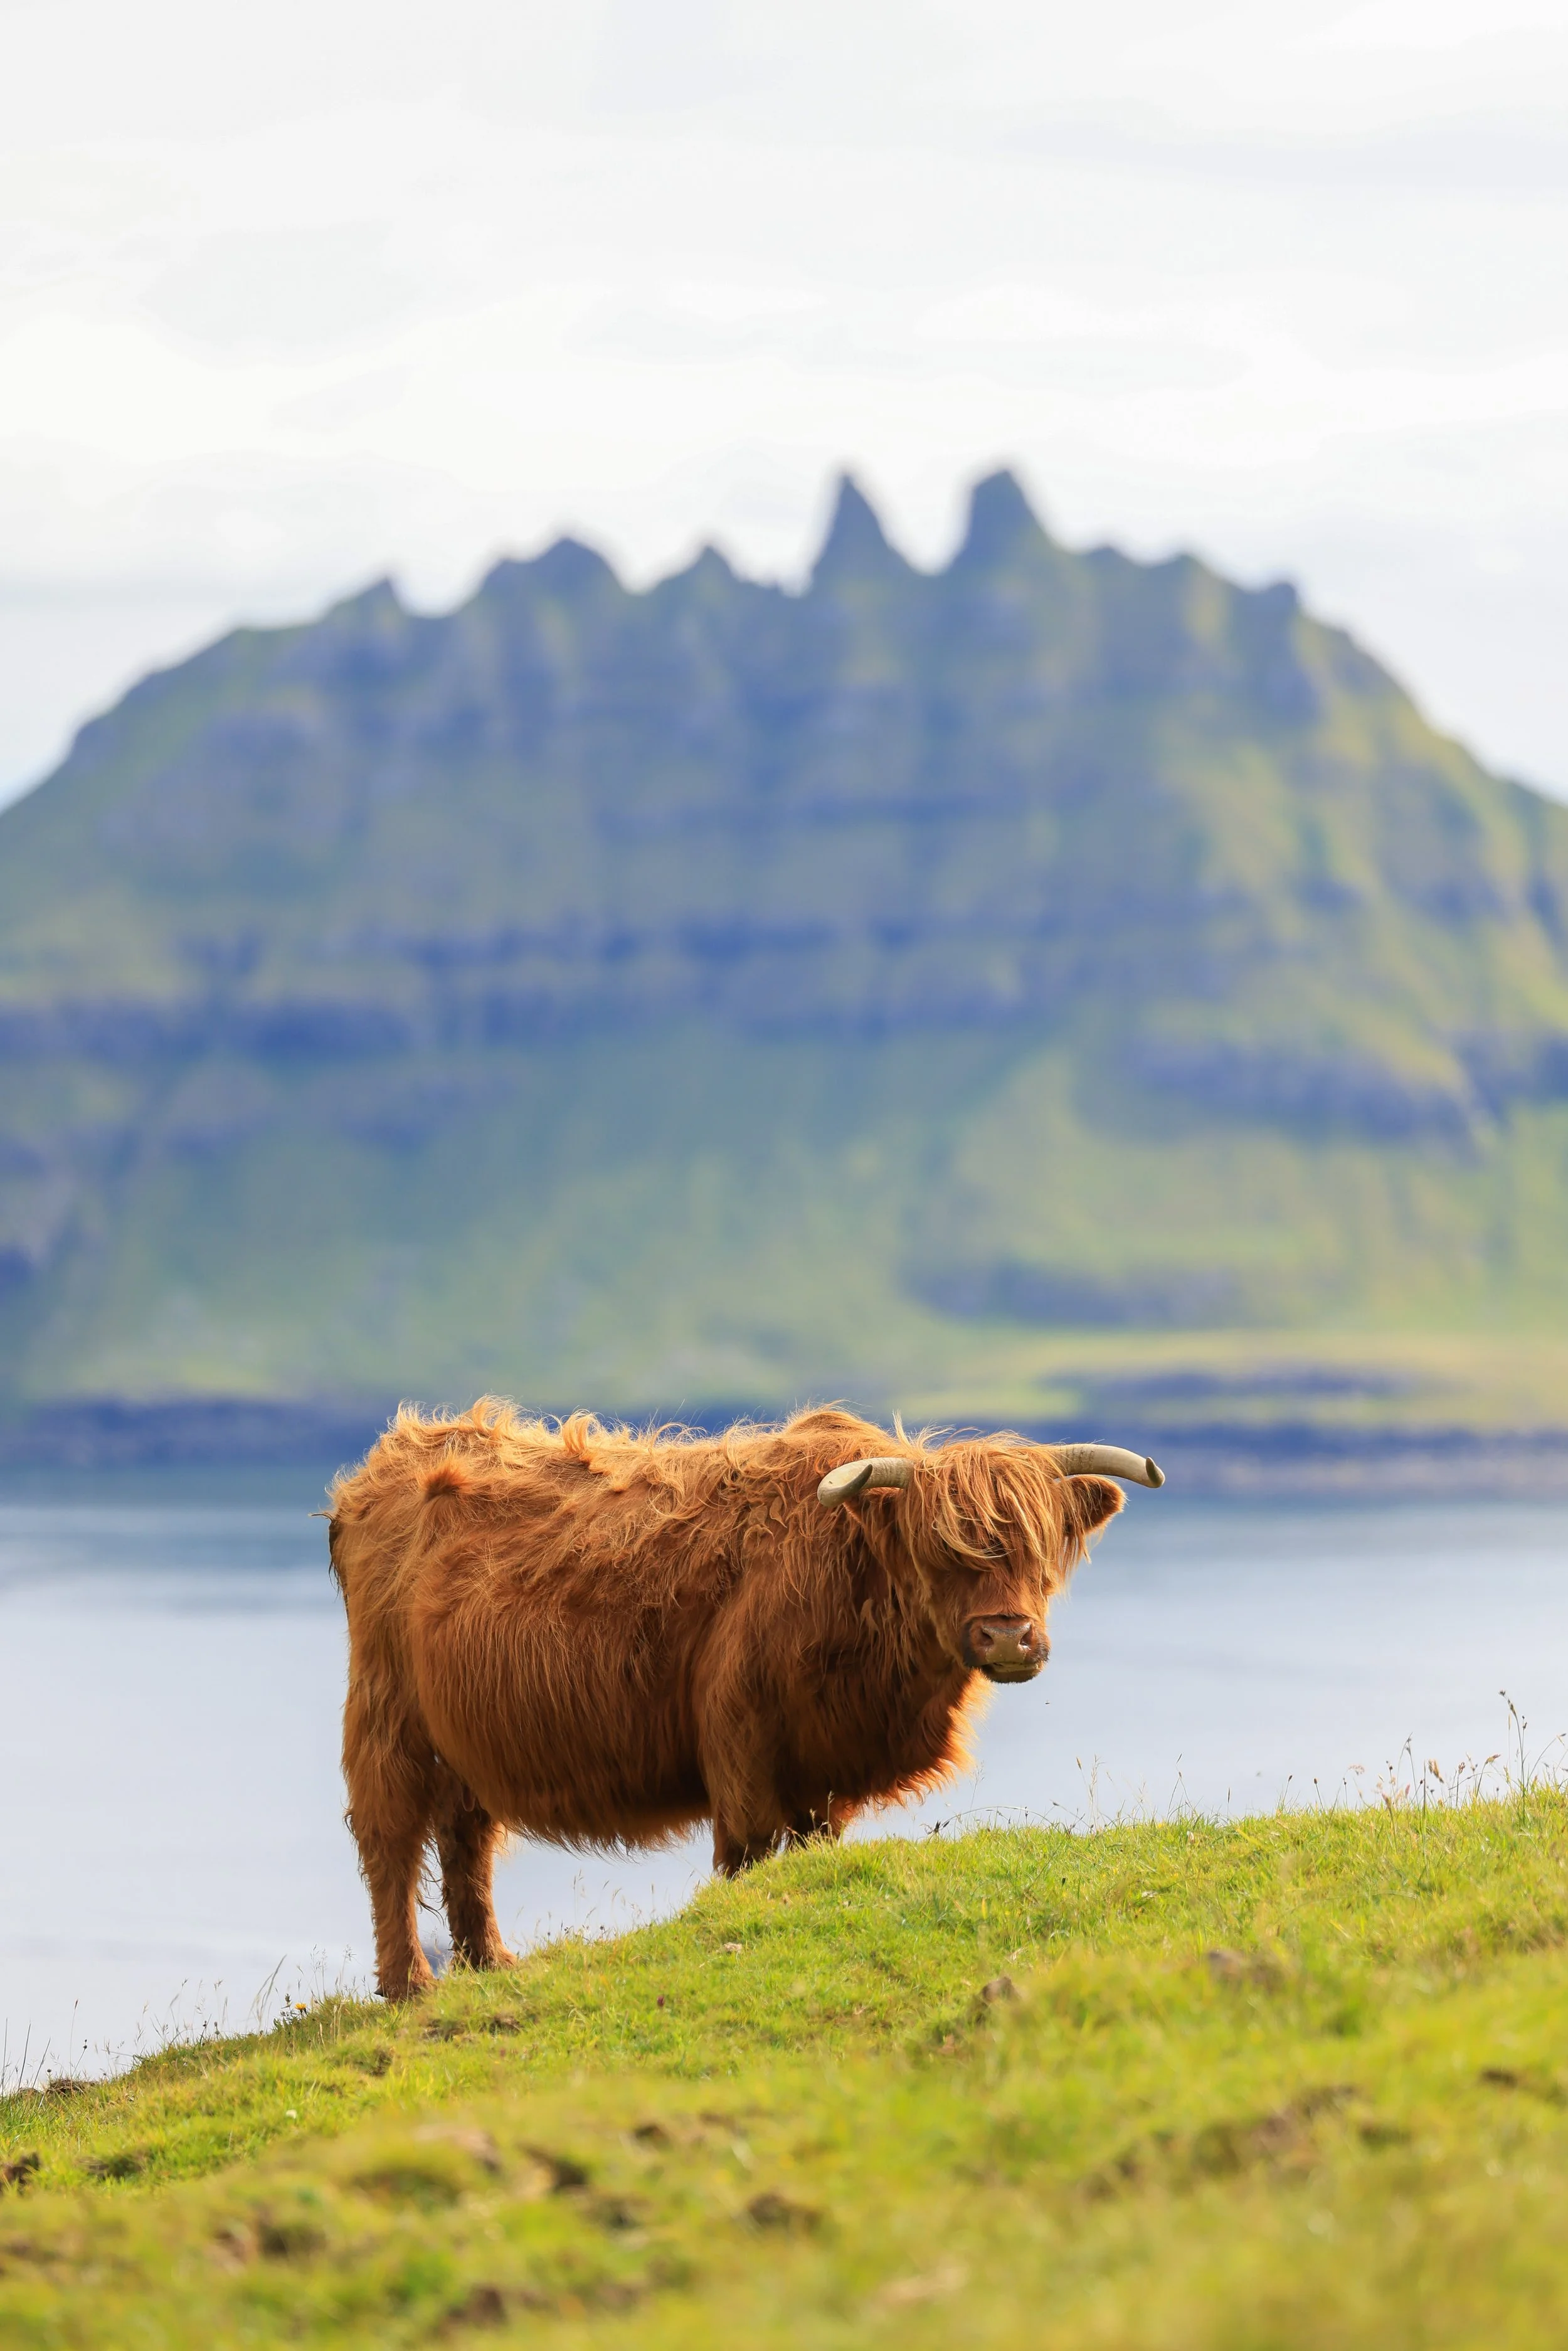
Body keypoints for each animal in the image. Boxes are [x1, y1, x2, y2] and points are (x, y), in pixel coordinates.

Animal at [328, 1399, 1163, 1999]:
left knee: (466, 1836)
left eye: (1042, 1546)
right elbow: (749, 1851)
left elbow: (813, 1844)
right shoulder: (740, 1735)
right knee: (390, 1838)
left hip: (465, 1735)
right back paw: (409, 1984)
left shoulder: (823, 1766)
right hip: (386, 1715)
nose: (1006, 1637)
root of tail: (392, 1457)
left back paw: (491, 1962)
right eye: (939, 1550)